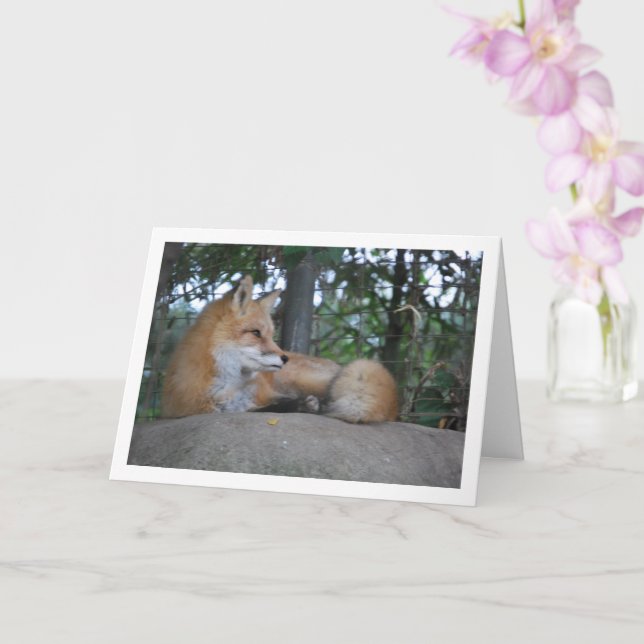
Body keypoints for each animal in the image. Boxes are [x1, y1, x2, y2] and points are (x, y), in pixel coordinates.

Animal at [161, 275, 399, 423]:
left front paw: (303, 405)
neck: (230, 387)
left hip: (302, 380)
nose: (285, 358)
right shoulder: (204, 409)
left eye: (271, 334)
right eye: (256, 333)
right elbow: (270, 408)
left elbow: (277, 405)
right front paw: (302, 405)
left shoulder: (266, 395)